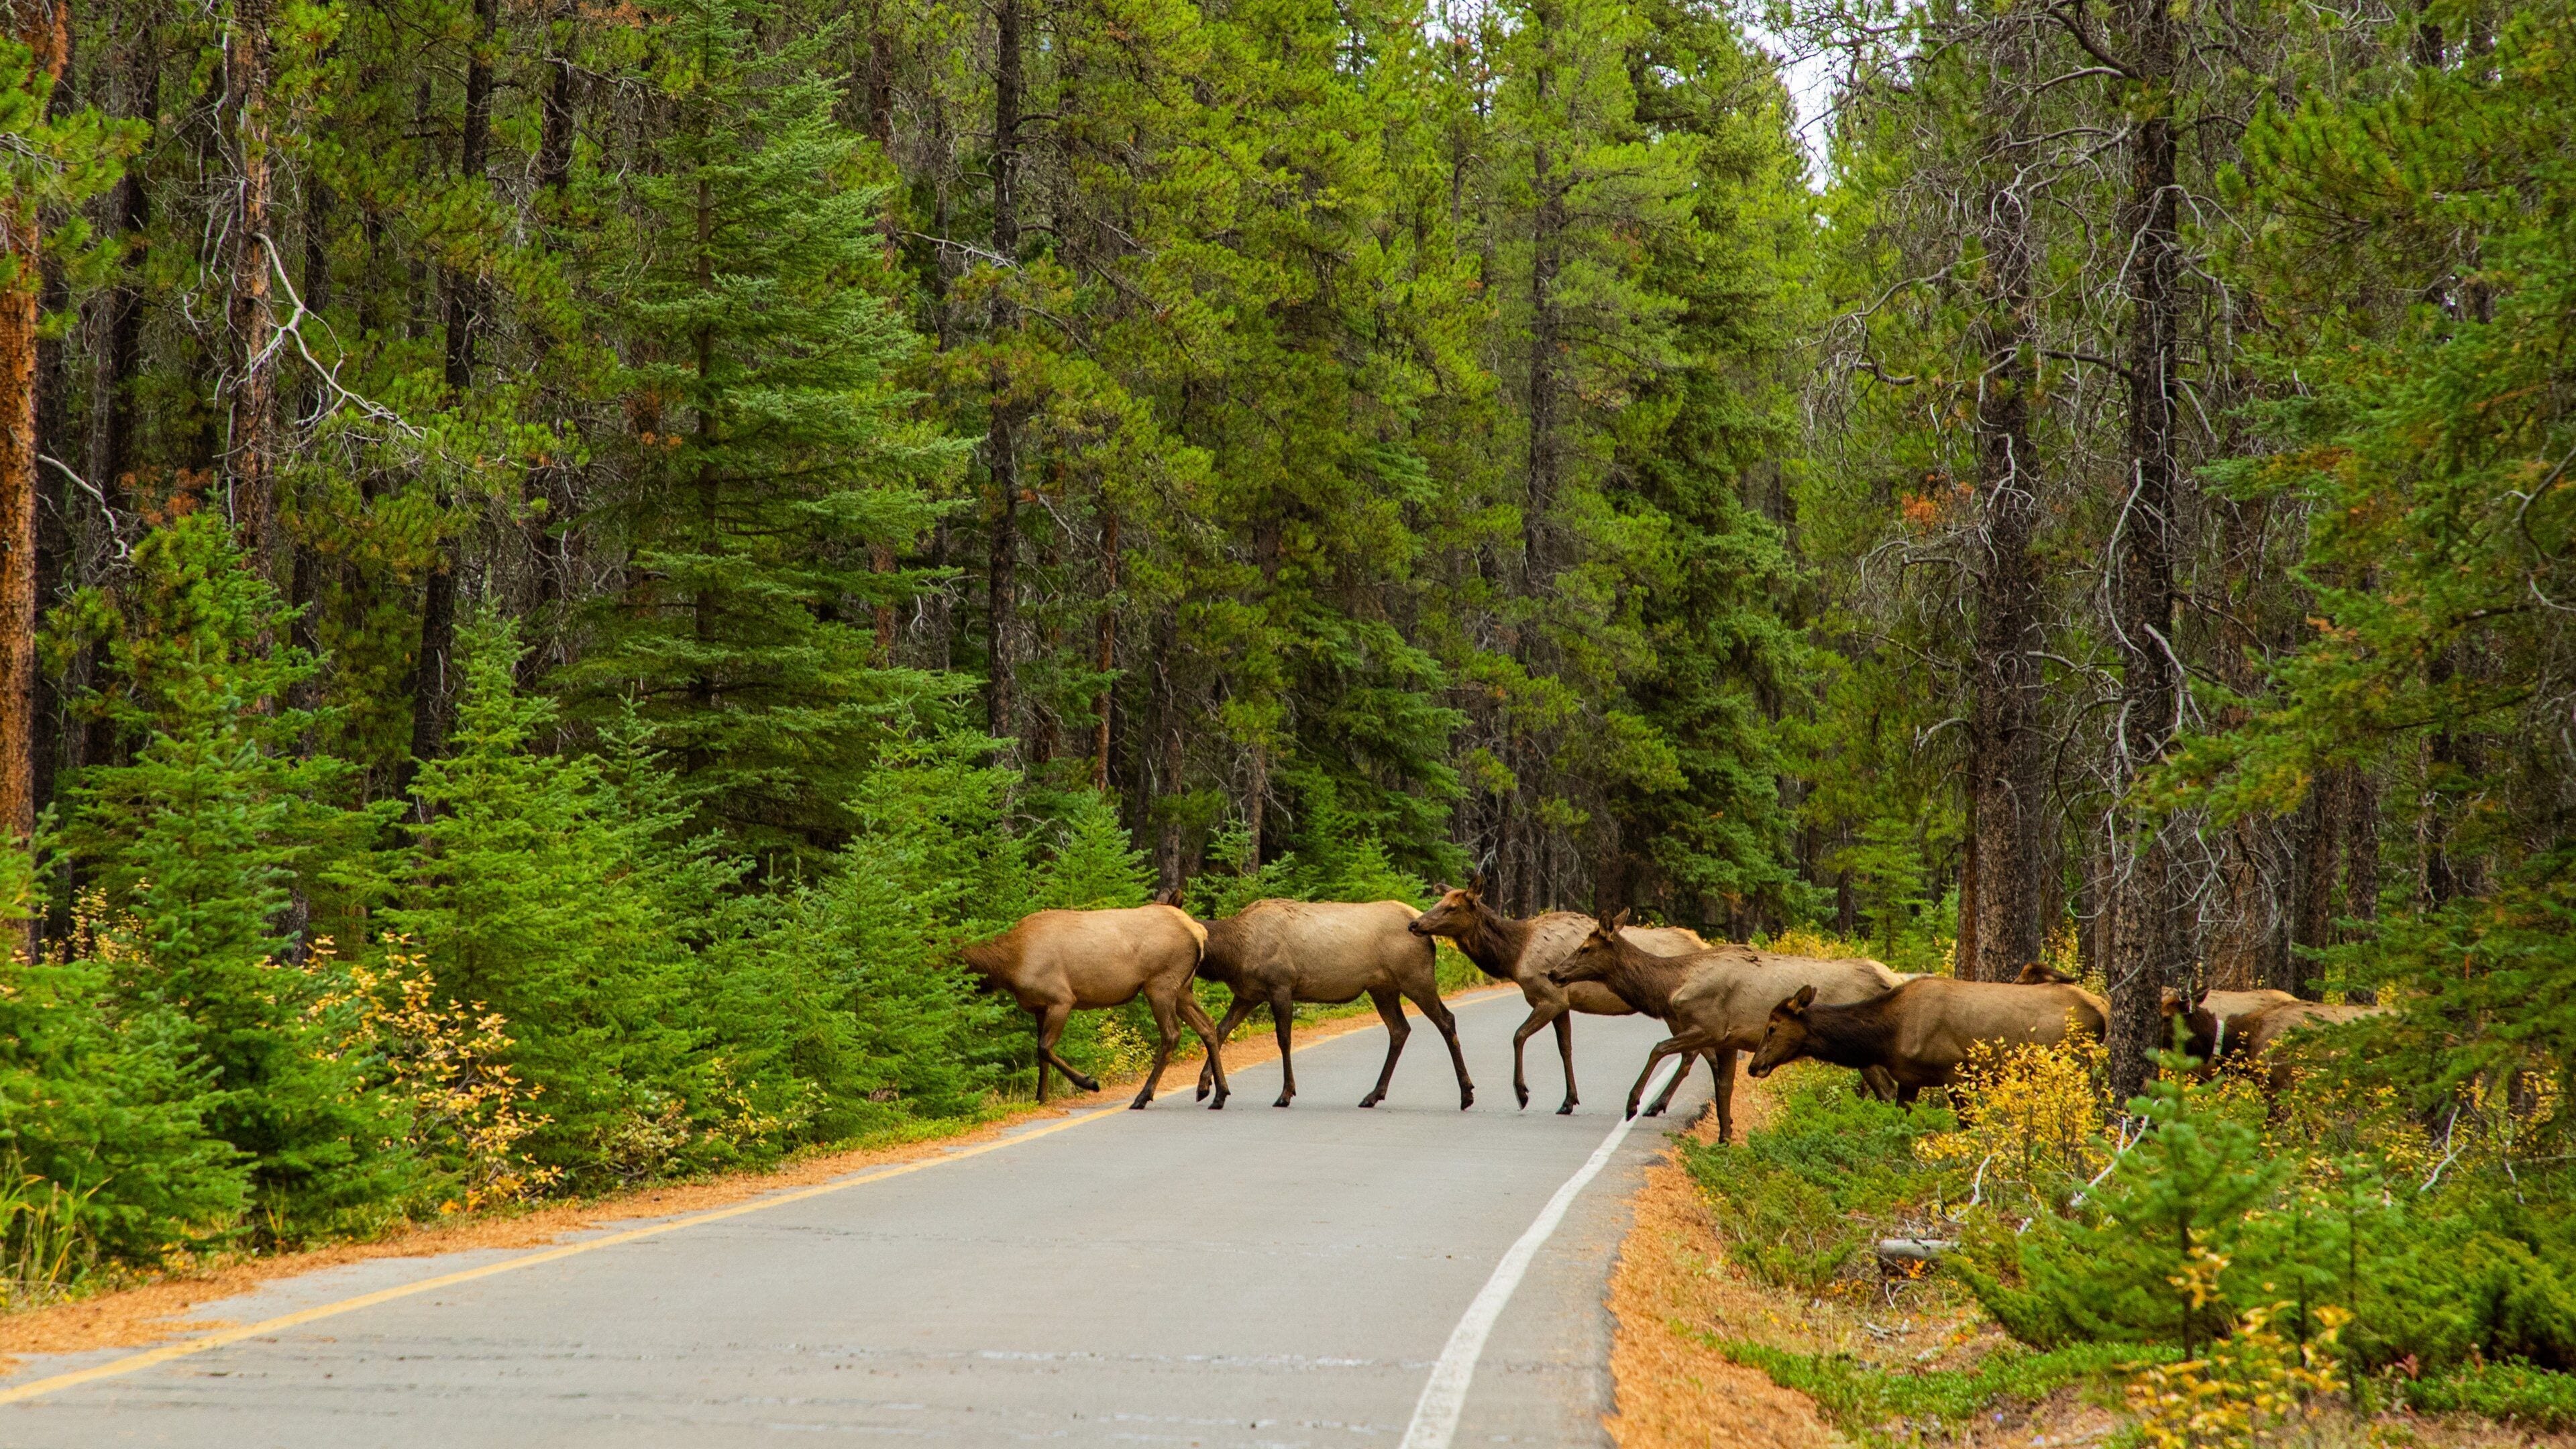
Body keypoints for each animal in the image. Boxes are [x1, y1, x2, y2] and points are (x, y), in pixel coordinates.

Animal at [958, 904, 1230, 1110]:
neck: (1008, 964)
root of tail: (1198, 932)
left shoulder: (1061, 999)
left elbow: (1044, 1048)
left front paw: (1090, 1082)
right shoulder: (1039, 1007)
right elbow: (1040, 1054)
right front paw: (1041, 1097)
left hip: (1160, 984)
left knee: (1172, 1034)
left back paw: (1143, 1097)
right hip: (1182, 989)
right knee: (1207, 1025)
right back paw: (1217, 1094)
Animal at [1189, 898, 1475, 1110]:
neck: (1234, 955)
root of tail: (1427, 933)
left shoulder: (1280, 986)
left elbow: (1284, 1040)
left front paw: (1286, 1093)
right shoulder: (1248, 995)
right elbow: (1220, 1031)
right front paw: (1205, 1087)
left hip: (1416, 979)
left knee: (1446, 1020)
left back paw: (1466, 1094)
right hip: (1383, 989)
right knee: (1400, 1029)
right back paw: (1373, 1095)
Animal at [1408, 881, 1708, 1114]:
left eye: (1452, 907)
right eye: (1439, 900)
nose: (1414, 923)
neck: (1514, 956)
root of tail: (1703, 943)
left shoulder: (1550, 998)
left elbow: (1518, 1035)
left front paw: (1523, 1093)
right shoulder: (1563, 1005)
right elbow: (1566, 1048)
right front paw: (1569, 1101)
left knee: (1690, 1053)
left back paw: (1656, 1105)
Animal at [1548, 912, 1906, 1136]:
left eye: (1585, 948)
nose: (1553, 973)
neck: (1670, 987)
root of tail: (1891, 980)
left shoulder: (1709, 1026)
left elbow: (1659, 1049)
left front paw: (1634, 1103)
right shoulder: (1728, 1041)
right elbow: (1723, 1089)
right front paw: (1725, 1136)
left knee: (1889, 1091)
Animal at [1745, 977, 2107, 1104]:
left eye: (1772, 1027)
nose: (1753, 1066)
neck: (1887, 1038)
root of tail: (2102, 1011)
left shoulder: (1956, 1073)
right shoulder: (1909, 1080)